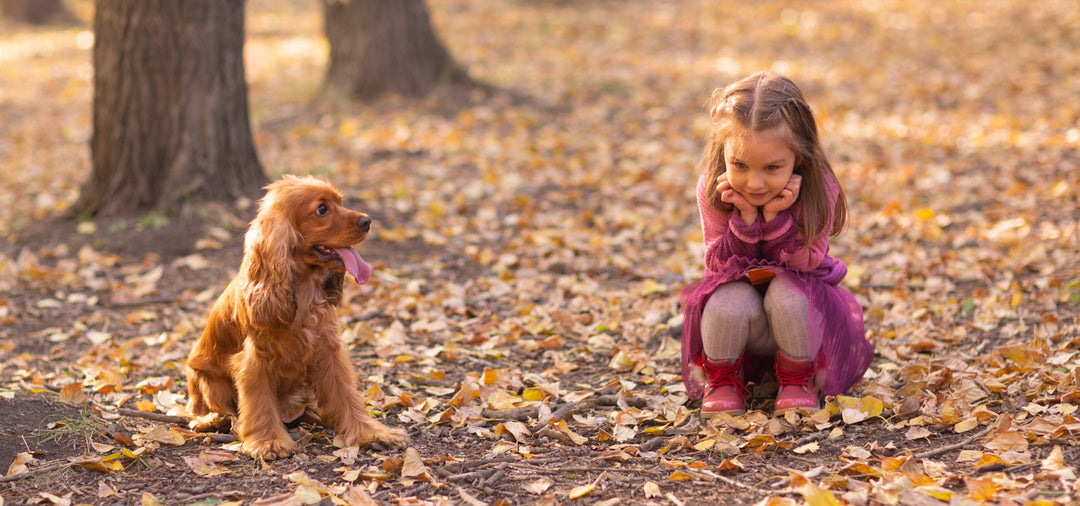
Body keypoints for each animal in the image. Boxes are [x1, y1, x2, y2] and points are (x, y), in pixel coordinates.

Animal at [183, 175, 406, 459]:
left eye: (340, 202)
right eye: (321, 209)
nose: (367, 221)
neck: (303, 291)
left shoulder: (329, 349)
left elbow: (346, 395)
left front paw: (372, 432)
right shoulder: (254, 360)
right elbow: (260, 403)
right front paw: (269, 442)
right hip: (206, 380)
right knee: (198, 411)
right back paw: (212, 419)